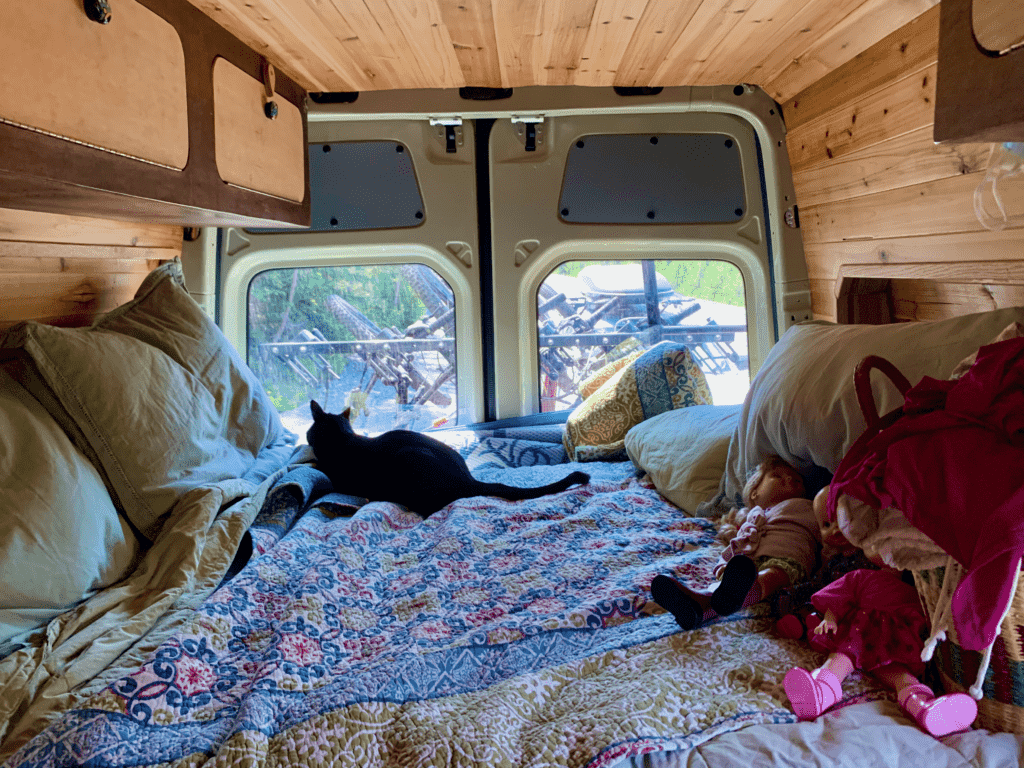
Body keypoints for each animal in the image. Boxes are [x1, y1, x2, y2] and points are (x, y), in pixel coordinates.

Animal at [307, 403, 589, 518]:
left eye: (310, 432)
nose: (308, 438)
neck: (344, 439)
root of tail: (467, 478)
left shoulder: (339, 478)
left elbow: (320, 468)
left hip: (407, 458)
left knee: (431, 507)